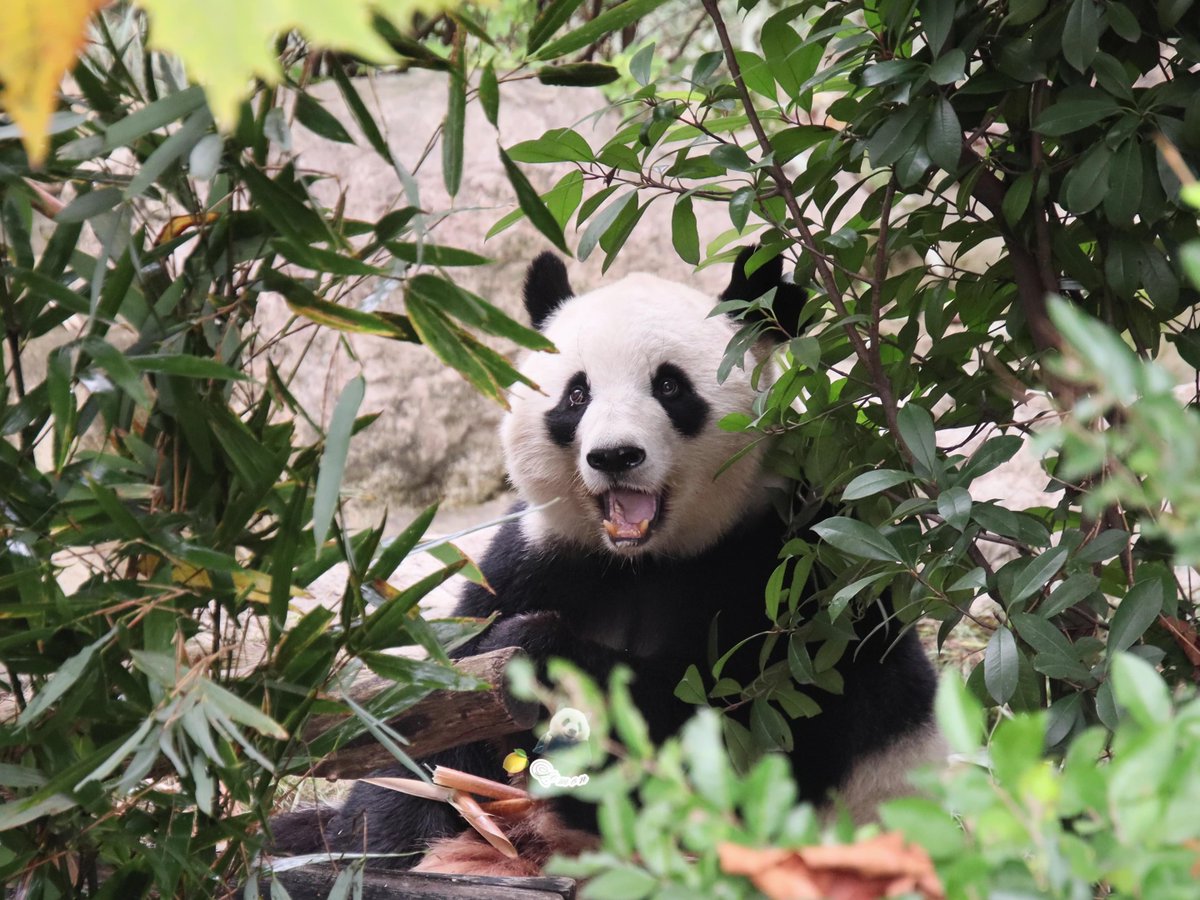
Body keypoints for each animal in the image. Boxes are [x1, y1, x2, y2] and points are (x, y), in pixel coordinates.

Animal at [269, 247, 943, 871]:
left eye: (669, 386)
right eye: (576, 394)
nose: (615, 456)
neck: (644, 559)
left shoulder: (793, 572)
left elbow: (735, 718)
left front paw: (545, 656)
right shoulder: (541, 557)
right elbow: (441, 717)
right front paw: (377, 832)